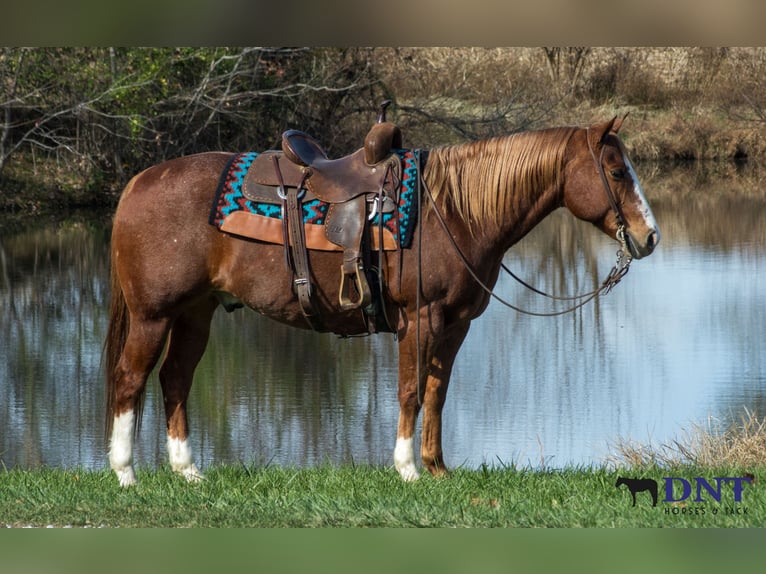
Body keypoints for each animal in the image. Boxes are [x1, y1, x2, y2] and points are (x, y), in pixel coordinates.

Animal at [104, 116, 659, 486]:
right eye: (615, 171)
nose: (649, 236)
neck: (454, 212)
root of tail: (136, 182)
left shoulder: (456, 325)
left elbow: (437, 392)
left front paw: (437, 468)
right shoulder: (421, 318)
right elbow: (410, 391)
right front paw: (407, 468)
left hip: (195, 313)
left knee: (175, 379)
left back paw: (188, 471)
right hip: (153, 316)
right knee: (131, 380)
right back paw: (125, 474)